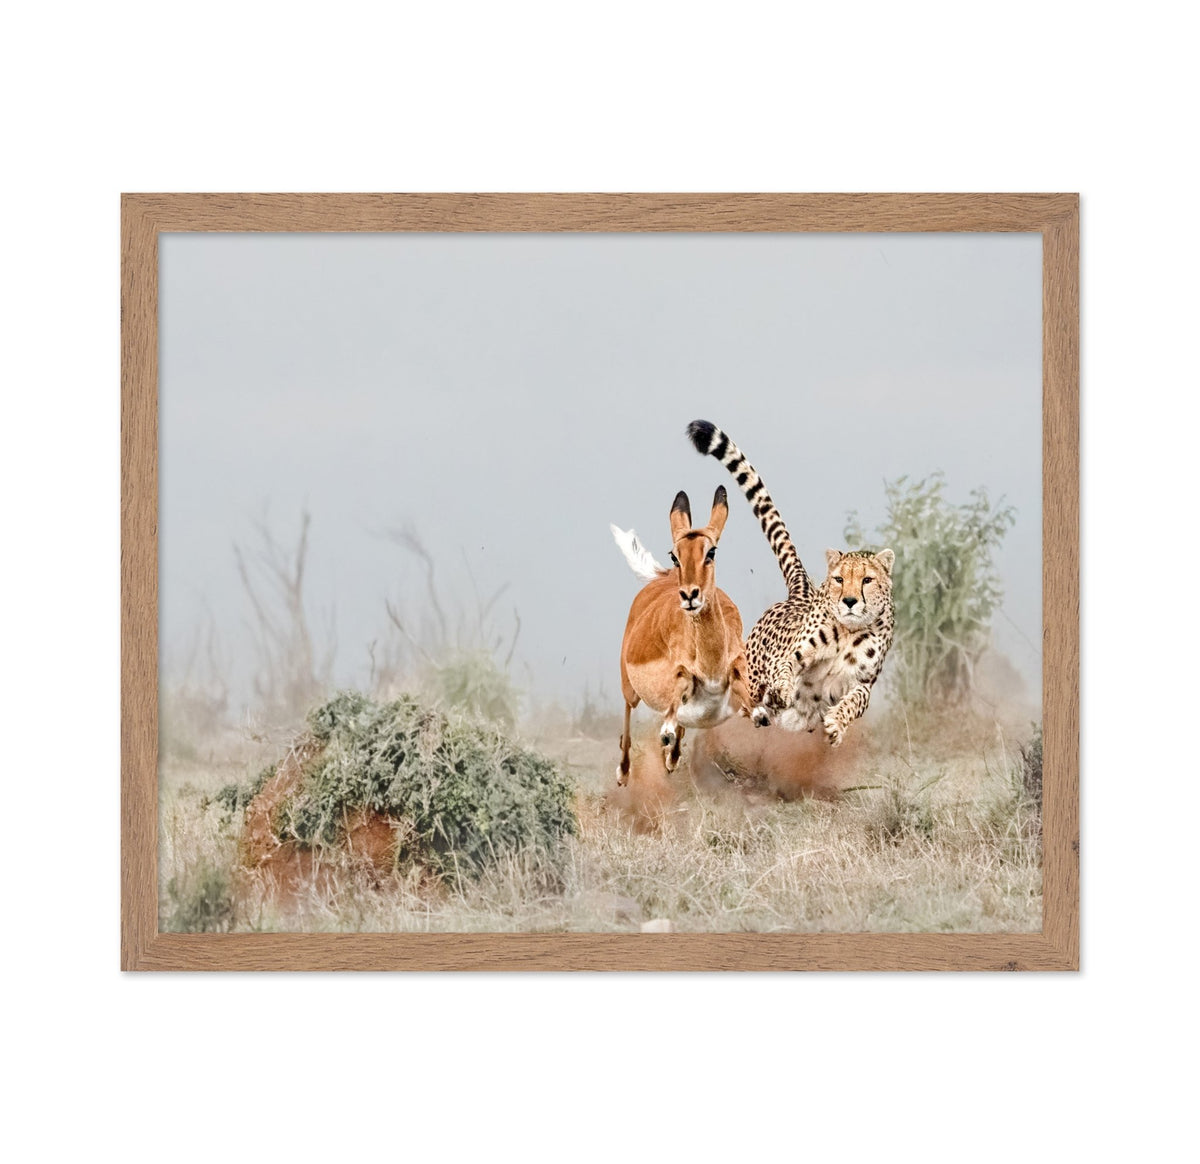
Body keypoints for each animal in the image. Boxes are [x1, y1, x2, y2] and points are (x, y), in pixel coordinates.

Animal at [686, 419, 896, 747]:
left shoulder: (862, 683)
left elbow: (853, 701)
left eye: (867, 580)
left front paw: (835, 725)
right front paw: (782, 691)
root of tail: (802, 592)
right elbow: (785, 669)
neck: (849, 631)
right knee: (743, 698)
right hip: (749, 675)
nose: (849, 601)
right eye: (839, 579)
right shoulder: (791, 657)